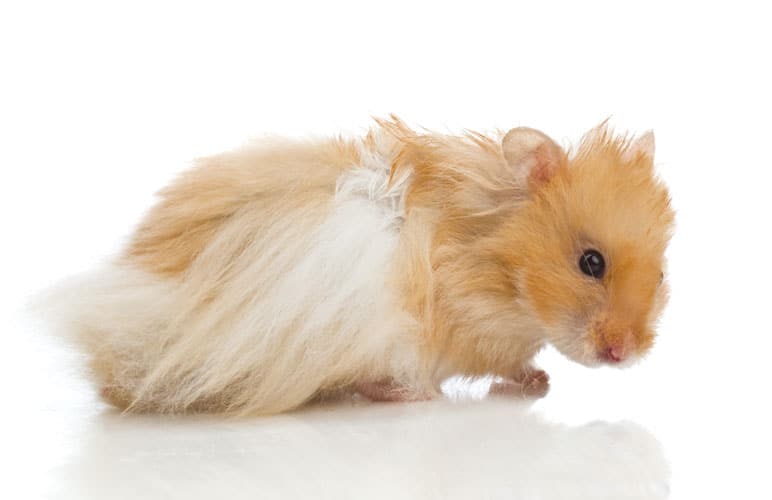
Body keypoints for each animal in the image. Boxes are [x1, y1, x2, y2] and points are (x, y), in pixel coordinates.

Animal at [45, 116, 676, 414]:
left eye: (663, 274)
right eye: (590, 262)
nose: (624, 354)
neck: (496, 268)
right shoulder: (474, 333)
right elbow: (509, 363)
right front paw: (537, 381)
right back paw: (408, 395)